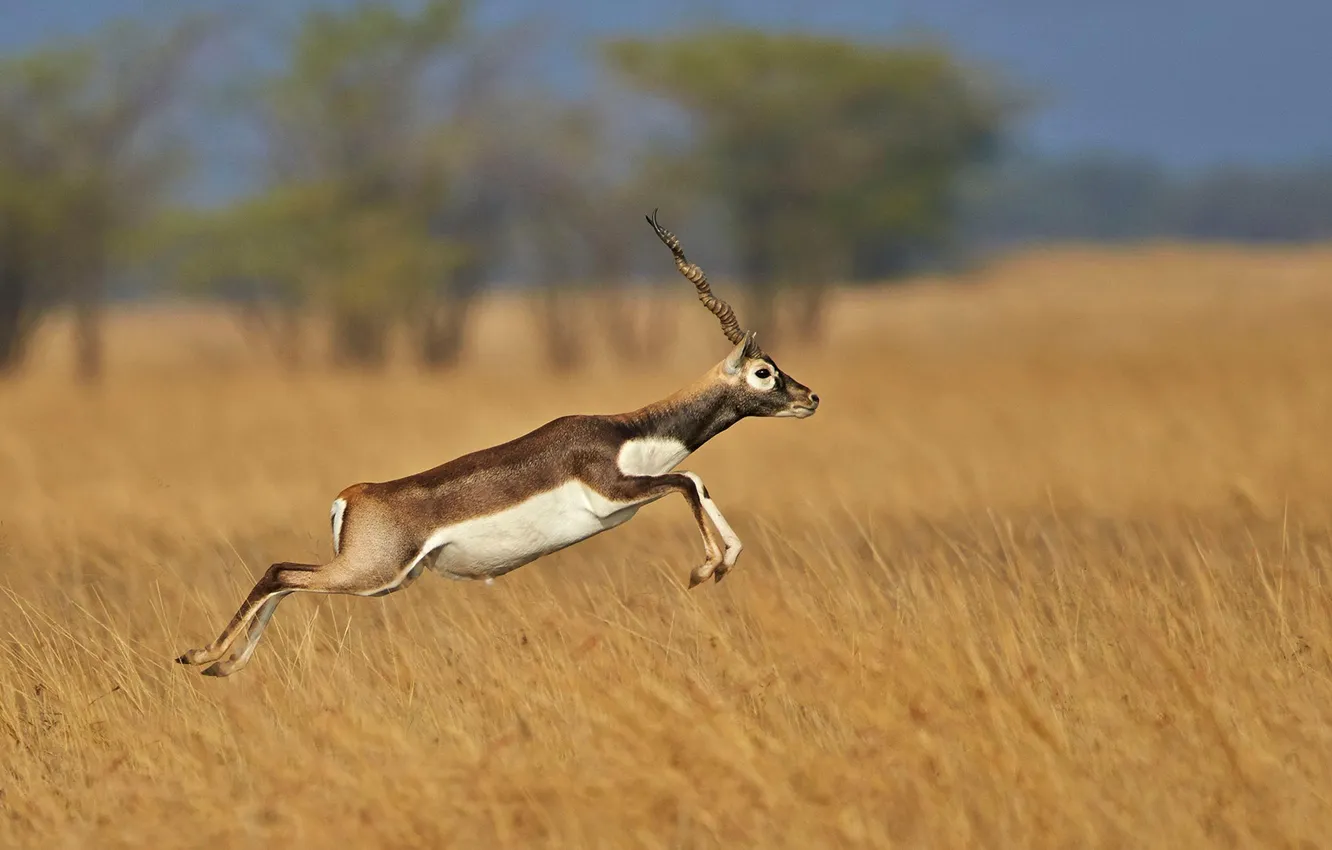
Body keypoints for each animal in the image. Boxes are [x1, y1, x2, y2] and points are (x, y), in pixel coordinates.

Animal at [174, 211, 820, 679]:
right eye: (764, 371)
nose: (810, 397)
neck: (629, 430)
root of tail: (352, 496)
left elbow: (699, 482)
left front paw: (719, 563)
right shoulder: (615, 492)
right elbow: (687, 479)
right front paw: (705, 567)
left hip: (386, 577)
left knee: (283, 575)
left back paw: (221, 666)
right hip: (371, 573)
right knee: (279, 570)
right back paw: (202, 656)